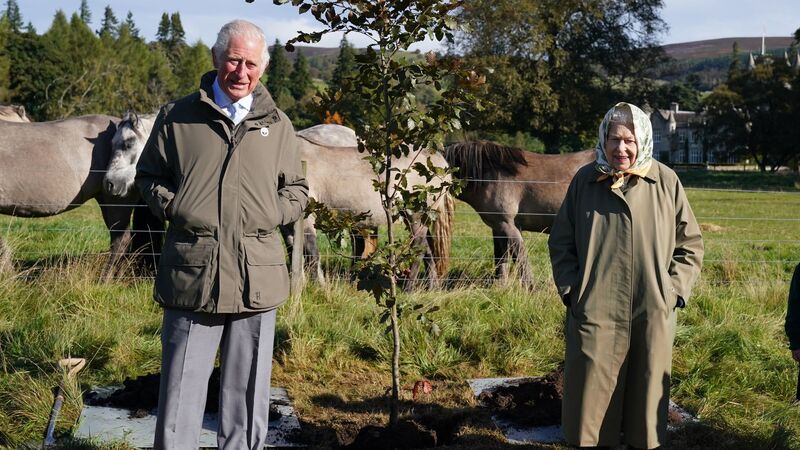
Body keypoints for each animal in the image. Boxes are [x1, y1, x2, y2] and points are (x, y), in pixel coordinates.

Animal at [444, 142, 592, 288]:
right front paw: (500, 287)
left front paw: (530, 288)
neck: (491, 175)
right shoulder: (498, 228)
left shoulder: (508, 225)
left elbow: (520, 258)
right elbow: (501, 259)